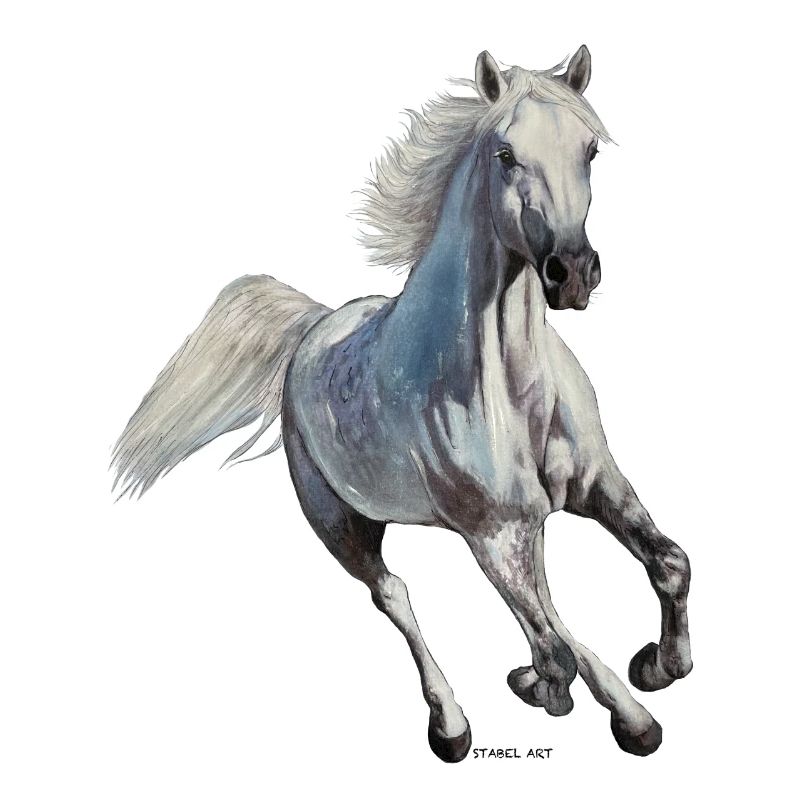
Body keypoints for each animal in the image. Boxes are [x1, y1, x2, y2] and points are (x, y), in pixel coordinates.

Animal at [112, 46, 692, 762]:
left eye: (589, 151)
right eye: (505, 153)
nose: (572, 273)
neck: (508, 388)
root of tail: (314, 327)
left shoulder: (595, 485)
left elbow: (667, 564)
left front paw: (656, 669)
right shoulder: (492, 531)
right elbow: (555, 649)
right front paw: (566, 692)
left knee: (547, 607)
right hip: (342, 524)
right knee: (397, 594)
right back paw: (452, 724)